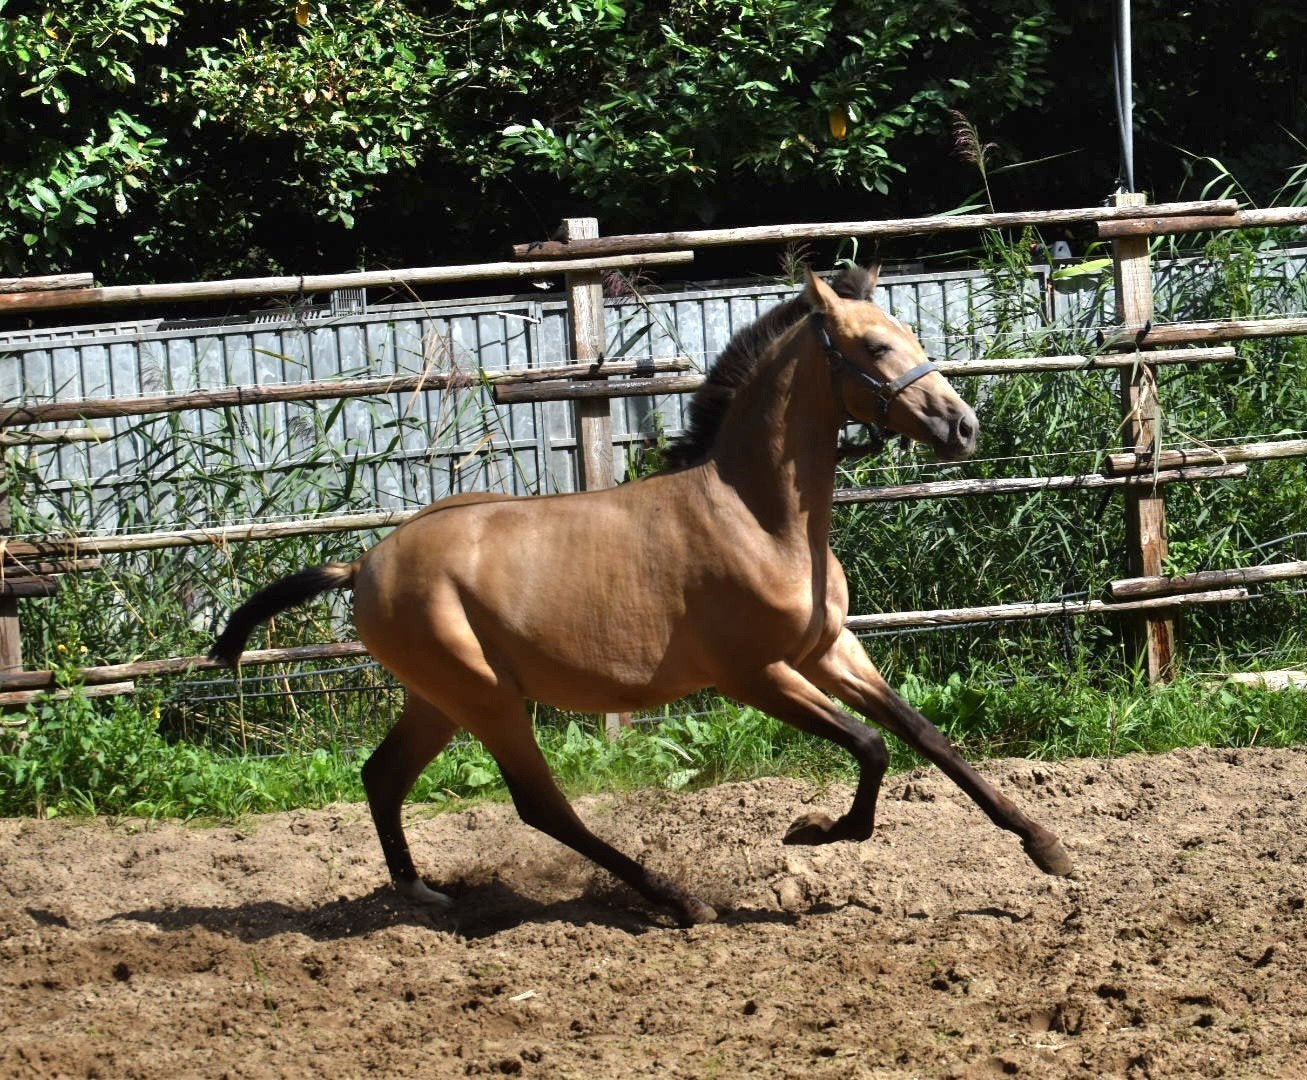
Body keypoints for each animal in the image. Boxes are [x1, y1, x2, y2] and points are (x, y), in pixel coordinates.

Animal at [212, 268, 1072, 926]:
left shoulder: (829, 650)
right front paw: (814, 831)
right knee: (541, 807)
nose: (963, 428)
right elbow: (871, 746)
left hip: (437, 700)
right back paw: (678, 900)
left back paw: (423, 892)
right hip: (485, 698)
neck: (758, 519)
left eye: (911, 337)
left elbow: (927, 737)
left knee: (382, 778)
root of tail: (360, 565)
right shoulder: (753, 676)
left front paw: (1047, 847)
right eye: (875, 346)